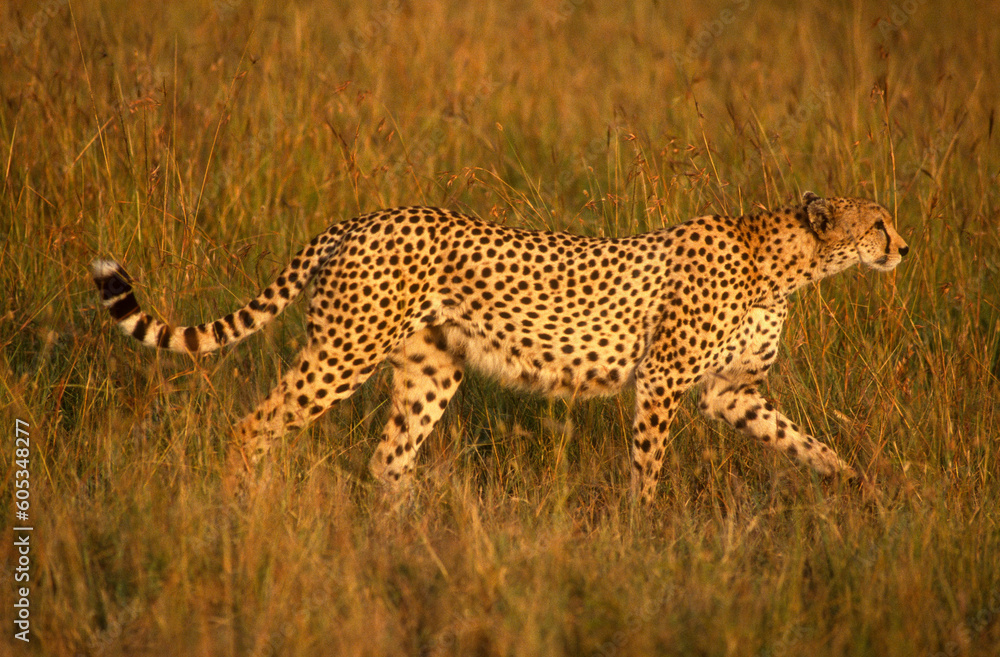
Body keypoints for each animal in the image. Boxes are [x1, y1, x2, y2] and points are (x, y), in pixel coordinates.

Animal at [89, 192, 908, 503]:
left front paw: (854, 482)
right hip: (345, 352)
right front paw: (649, 530)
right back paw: (236, 504)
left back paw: (412, 538)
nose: (903, 246)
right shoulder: (664, 379)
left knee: (387, 458)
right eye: (877, 222)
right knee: (255, 425)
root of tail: (367, 216)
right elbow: (649, 463)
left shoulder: (728, 391)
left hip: (431, 369)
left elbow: (801, 439)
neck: (786, 262)